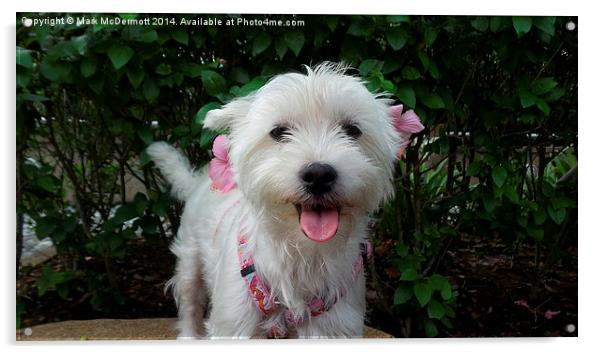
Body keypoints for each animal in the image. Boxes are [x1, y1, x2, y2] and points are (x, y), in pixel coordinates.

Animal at [146, 62, 422, 338]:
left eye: (353, 130)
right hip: (189, 260)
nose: (319, 175)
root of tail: (199, 180)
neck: (304, 253)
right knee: (190, 303)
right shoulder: (234, 321)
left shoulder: (333, 324)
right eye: (278, 132)